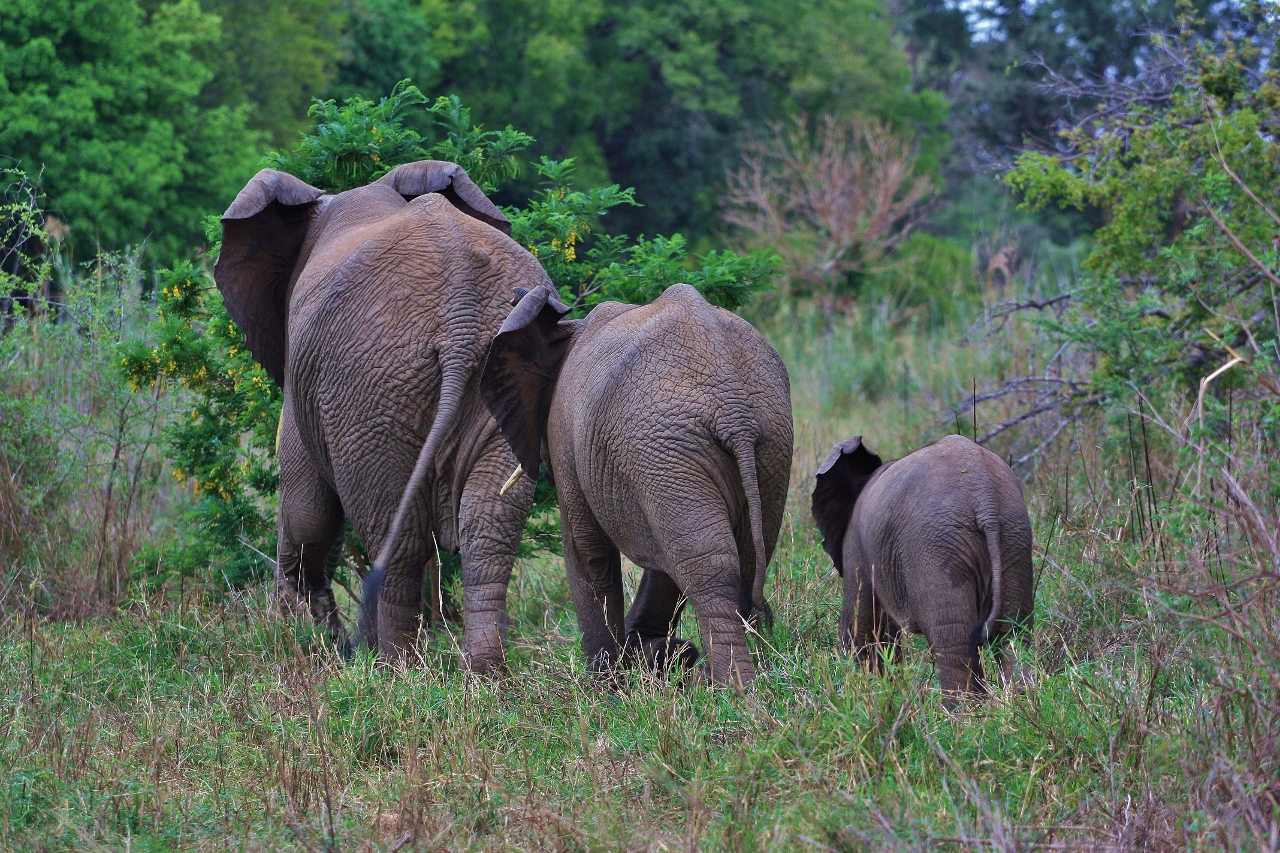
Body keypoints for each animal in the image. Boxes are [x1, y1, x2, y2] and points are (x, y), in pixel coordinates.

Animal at [211, 159, 550, 666]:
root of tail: (462, 314)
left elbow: (308, 509)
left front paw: (309, 639)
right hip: (503, 373)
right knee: (488, 530)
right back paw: (485, 671)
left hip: (370, 388)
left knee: (397, 537)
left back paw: (394, 668)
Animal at [478, 281, 788, 681]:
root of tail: (733, 410)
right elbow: (661, 556)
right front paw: (655, 654)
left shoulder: (565, 431)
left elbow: (587, 550)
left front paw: (608, 685)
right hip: (763, 439)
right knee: (740, 557)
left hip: (665, 446)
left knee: (708, 566)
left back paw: (730, 688)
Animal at [814, 435, 1034, 701]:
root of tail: (985, 500)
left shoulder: (857, 546)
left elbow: (864, 629)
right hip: (1013, 537)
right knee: (1013, 634)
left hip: (936, 550)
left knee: (955, 646)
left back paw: (959, 712)